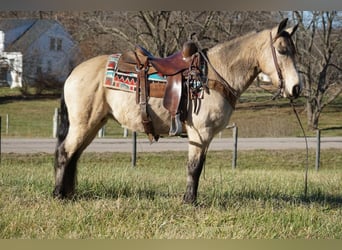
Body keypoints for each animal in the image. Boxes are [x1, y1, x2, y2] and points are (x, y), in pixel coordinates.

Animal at [52, 18, 300, 204]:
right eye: (281, 50)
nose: (296, 88)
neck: (213, 76)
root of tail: (74, 73)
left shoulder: (205, 137)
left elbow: (198, 167)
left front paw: (191, 199)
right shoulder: (200, 133)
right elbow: (194, 167)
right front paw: (189, 201)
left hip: (93, 125)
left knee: (74, 155)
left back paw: (68, 193)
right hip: (83, 124)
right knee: (65, 152)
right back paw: (58, 195)